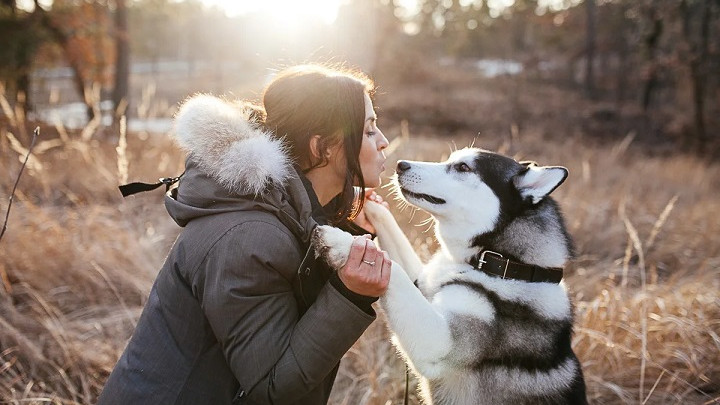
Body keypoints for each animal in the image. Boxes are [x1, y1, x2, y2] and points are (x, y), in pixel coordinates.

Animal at [314, 148, 584, 404]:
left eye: (463, 167)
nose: (401, 165)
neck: (502, 263)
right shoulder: (422, 285)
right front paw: (361, 196)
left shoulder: (439, 343)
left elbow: (393, 270)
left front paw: (341, 242)